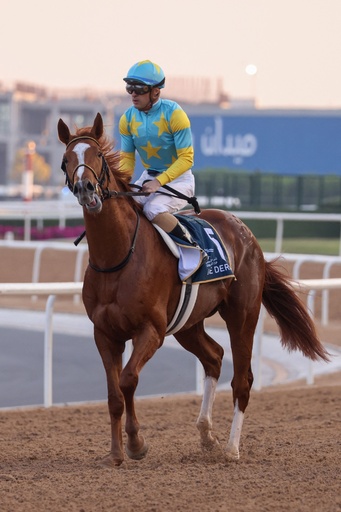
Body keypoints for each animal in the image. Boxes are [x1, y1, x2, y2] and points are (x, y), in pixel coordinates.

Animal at [57, 113, 328, 468]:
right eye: (65, 160)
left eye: (98, 156)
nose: (86, 190)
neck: (118, 257)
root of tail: (248, 235)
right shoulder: (105, 333)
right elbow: (114, 394)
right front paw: (116, 453)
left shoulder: (151, 330)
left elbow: (128, 380)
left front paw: (137, 444)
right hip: (188, 324)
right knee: (214, 357)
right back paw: (206, 434)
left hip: (242, 315)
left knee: (243, 379)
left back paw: (231, 448)